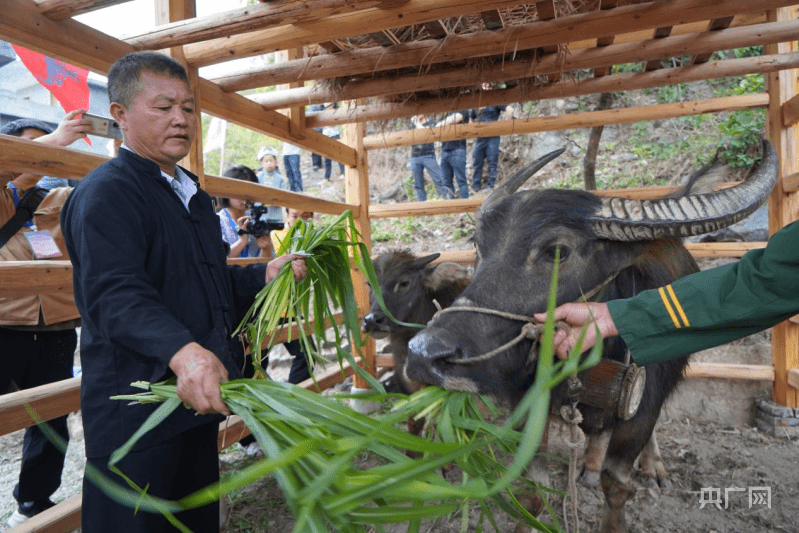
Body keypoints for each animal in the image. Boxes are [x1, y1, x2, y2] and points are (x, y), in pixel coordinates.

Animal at [406, 142, 776, 532]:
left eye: (556, 251)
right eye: (479, 245)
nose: (424, 354)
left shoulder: (643, 403)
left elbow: (616, 484)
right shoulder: (529, 404)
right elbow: (532, 487)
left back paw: (652, 467)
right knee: (595, 429)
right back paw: (591, 461)